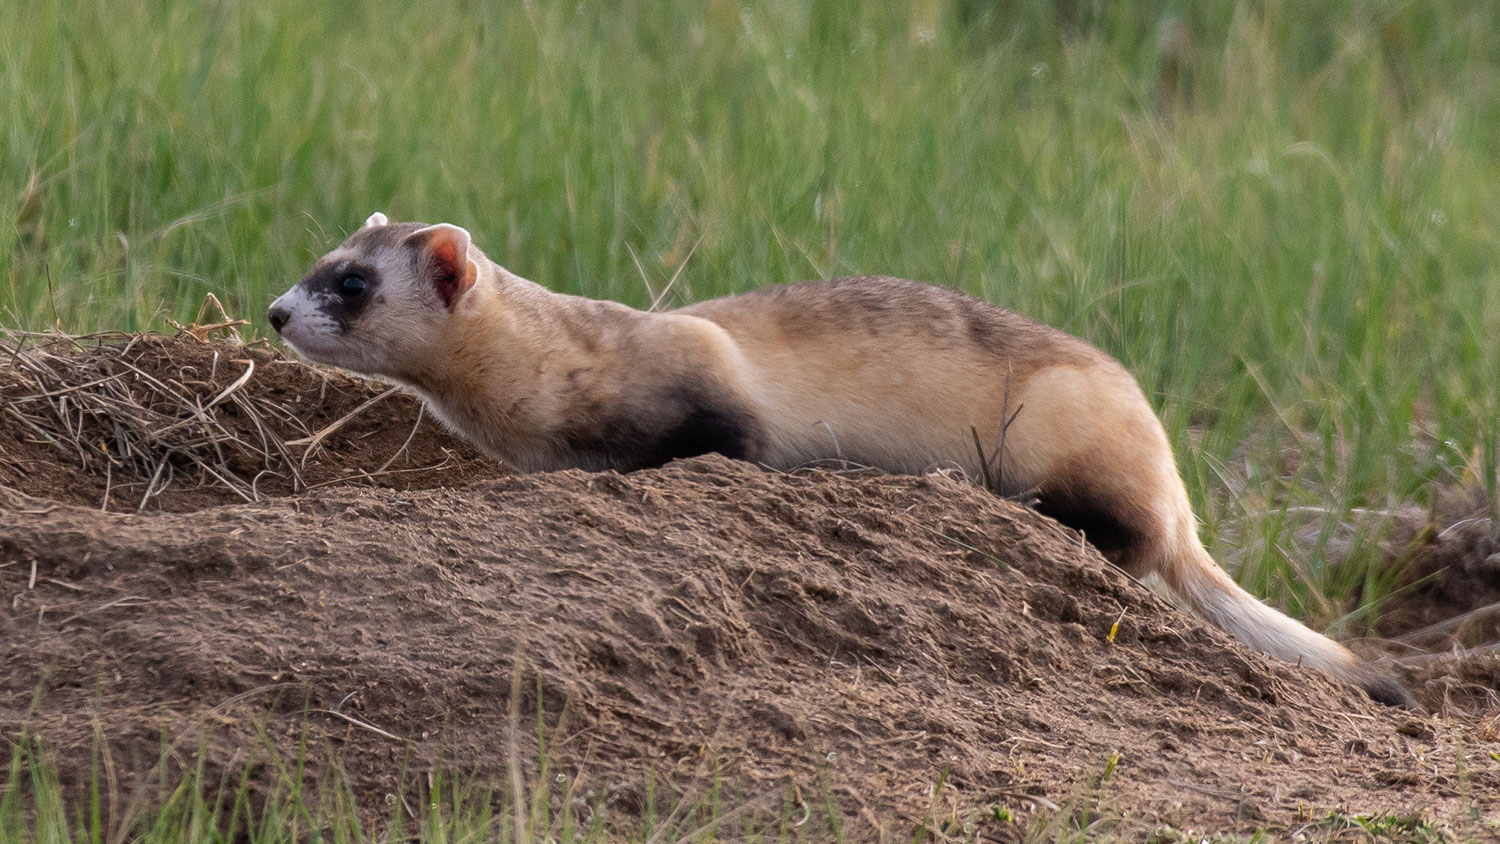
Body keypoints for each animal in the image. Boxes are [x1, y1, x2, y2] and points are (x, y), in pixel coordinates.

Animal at [273, 212, 1416, 707]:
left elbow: (726, 448)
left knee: (1120, 536)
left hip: (1065, 437)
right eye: (318, 256)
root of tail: (1176, 485)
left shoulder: (714, 396)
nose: (279, 308)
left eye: (353, 283)